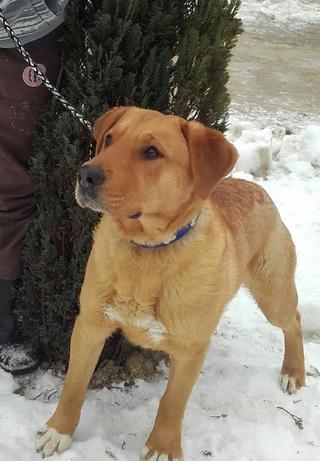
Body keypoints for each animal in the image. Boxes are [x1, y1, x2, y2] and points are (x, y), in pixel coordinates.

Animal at [35, 107, 304, 456]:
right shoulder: (90, 324)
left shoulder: (191, 350)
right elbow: (74, 384)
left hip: (273, 295)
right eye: (109, 139)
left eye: (152, 152)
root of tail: (256, 188)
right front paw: (59, 430)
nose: (85, 175)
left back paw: (293, 371)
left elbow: (172, 402)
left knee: (294, 321)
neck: (148, 252)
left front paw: (162, 446)